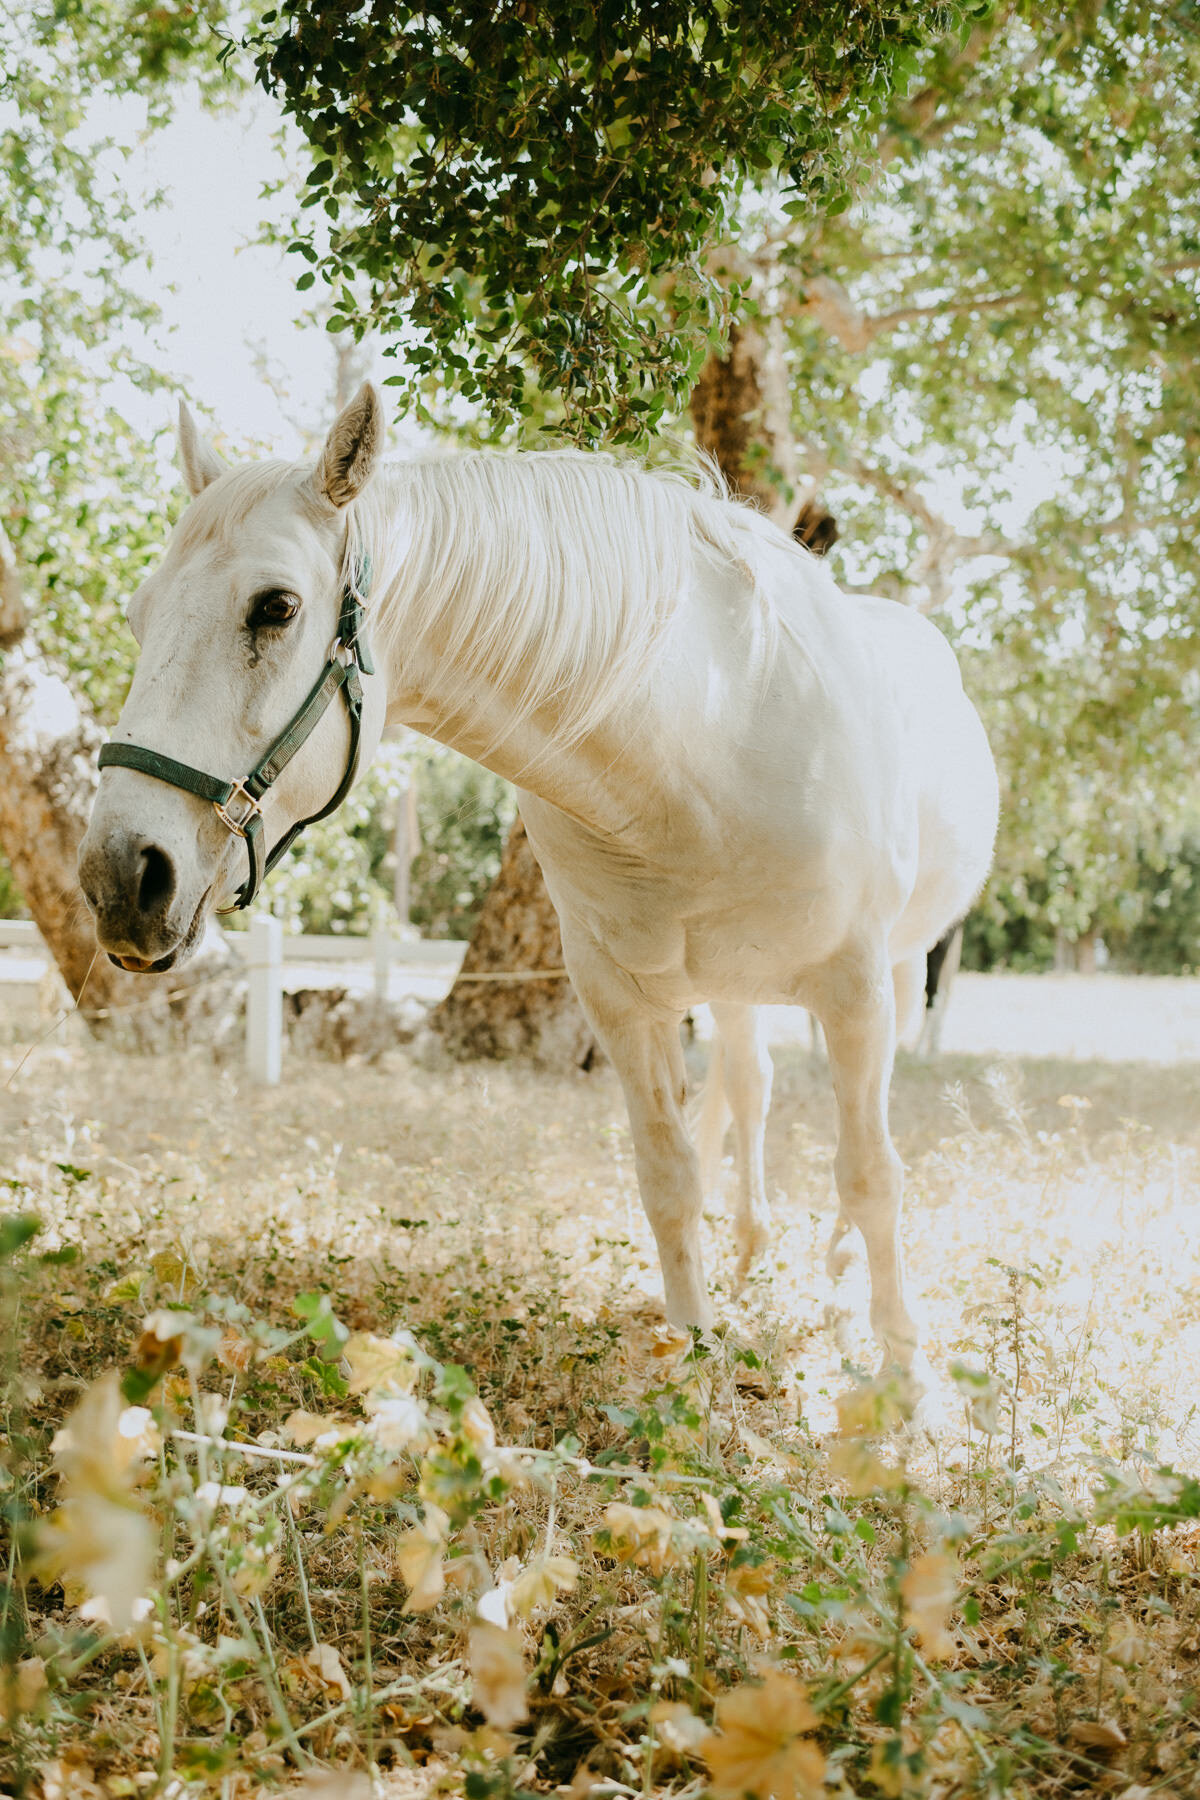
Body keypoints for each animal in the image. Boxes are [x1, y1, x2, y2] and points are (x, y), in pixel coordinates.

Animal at [77, 387, 993, 1368]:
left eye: (275, 607)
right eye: (136, 615)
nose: (118, 879)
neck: (711, 737)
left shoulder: (855, 992)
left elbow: (871, 1176)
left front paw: (900, 1374)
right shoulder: (620, 1002)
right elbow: (669, 1175)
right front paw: (694, 1351)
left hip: (891, 967)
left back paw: (839, 1274)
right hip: (735, 990)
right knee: (750, 1091)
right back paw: (754, 1257)